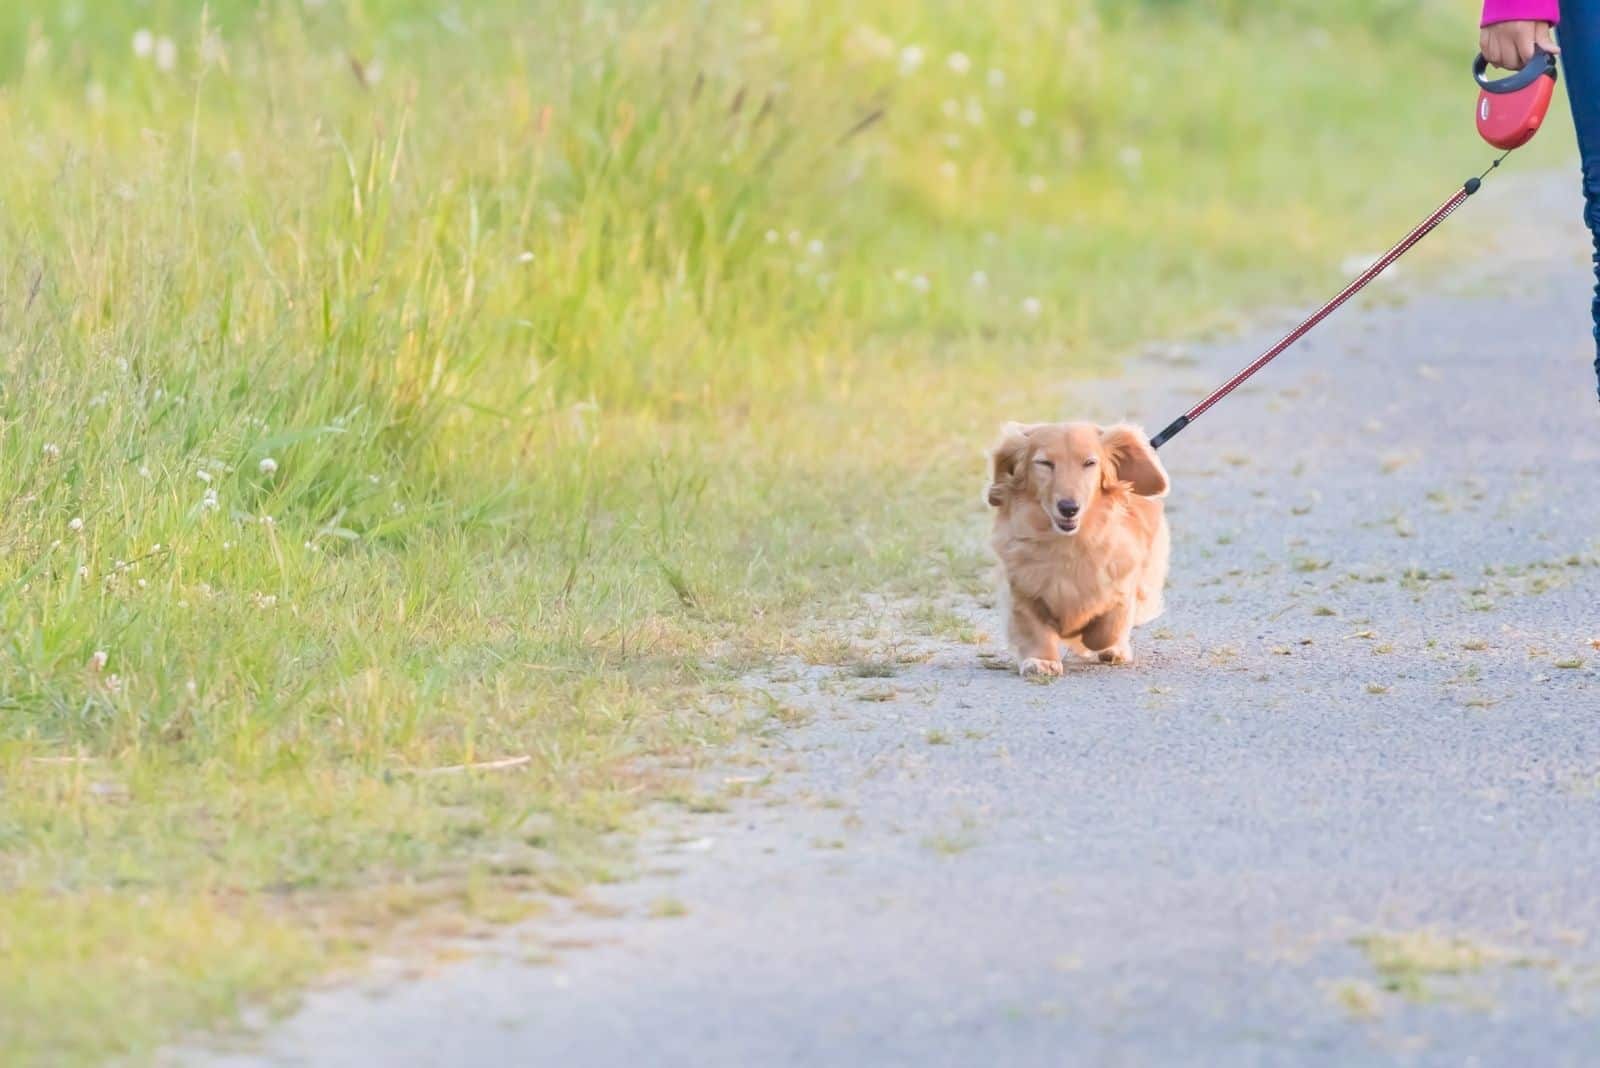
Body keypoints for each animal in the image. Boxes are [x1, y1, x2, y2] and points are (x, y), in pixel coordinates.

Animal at [979, 418, 1171, 674]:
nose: (1069, 508)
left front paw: (1086, 634)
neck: (1069, 543)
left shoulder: (1122, 579)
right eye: (1045, 463)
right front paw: (1042, 660)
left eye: (1089, 463)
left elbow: (1105, 628)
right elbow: (1033, 628)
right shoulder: (1022, 587)